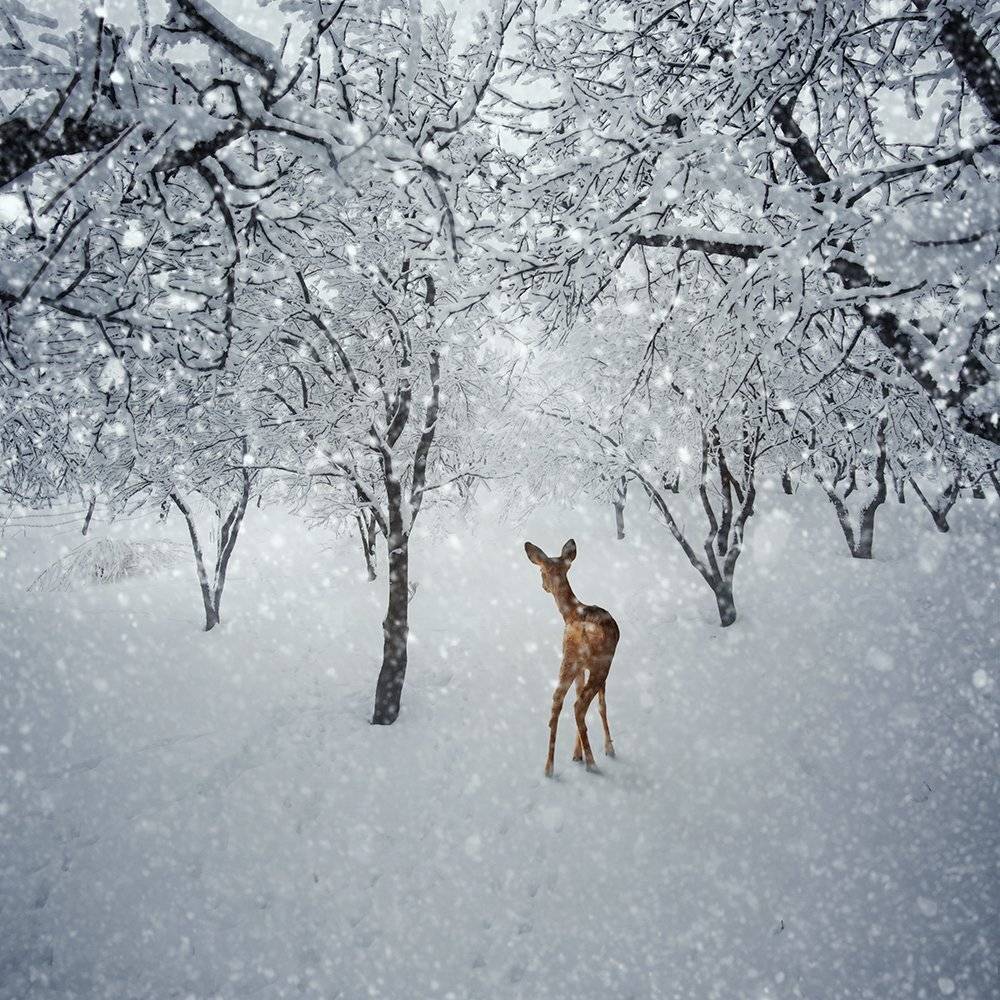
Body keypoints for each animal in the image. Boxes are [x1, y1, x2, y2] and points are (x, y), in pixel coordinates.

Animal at [524, 538, 620, 777]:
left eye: (541, 571)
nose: (543, 586)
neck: (571, 612)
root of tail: (583, 629)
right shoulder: (601, 665)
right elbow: (602, 706)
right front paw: (608, 748)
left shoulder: (580, 667)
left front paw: (576, 754)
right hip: (600, 664)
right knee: (579, 706)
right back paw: (592, 763)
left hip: (568, 659)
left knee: (558, 701)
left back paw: (549, 767)